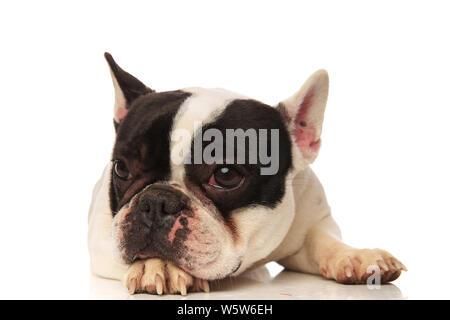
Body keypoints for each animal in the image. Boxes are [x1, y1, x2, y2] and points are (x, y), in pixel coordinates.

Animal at [87, 52, 404, 296]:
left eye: (226, 174)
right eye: (122, 168)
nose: (156, 201)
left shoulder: (310, 219)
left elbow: (322, 240)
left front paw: (356, 255)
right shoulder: (102, 238)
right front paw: (158, 264)